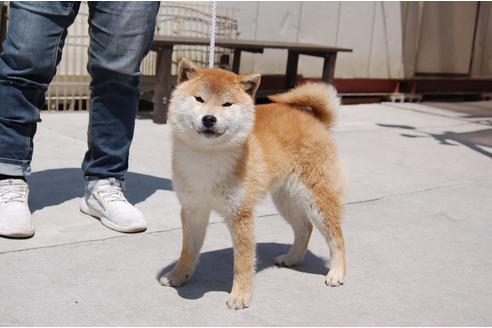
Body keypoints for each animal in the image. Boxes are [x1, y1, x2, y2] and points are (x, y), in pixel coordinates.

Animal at [160, 58, 344, 310]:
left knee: (336, 237)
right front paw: (178, 276)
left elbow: (243, 262)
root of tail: (315, 120)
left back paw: (337, 272)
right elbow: (188, 250)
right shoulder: (193, 209)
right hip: (285, 199)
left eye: (227, 104)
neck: (208, 158)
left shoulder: (241, 214)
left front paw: (240, 295)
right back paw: (292, 259)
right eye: (199, 99)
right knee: (304, 228)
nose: (209, 118)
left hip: (317, 198)